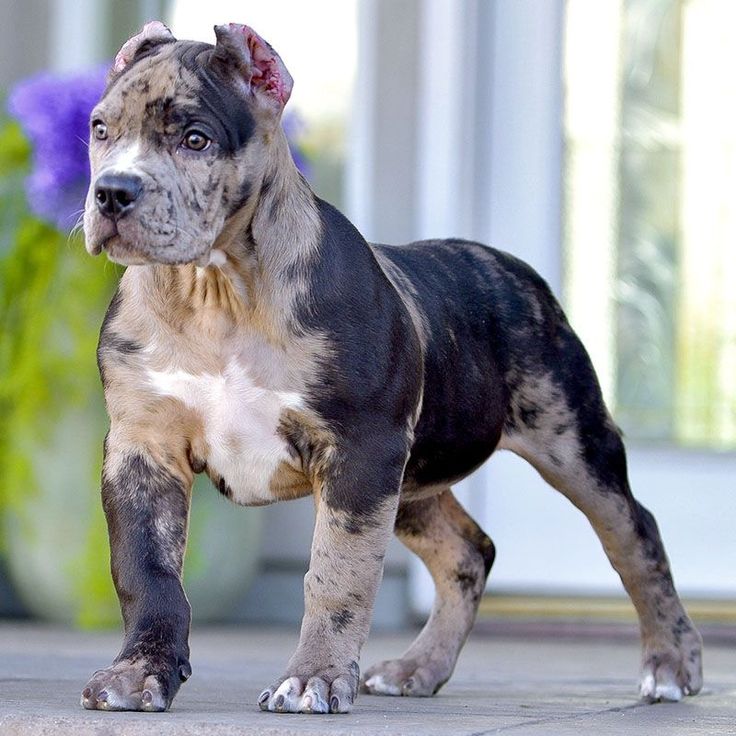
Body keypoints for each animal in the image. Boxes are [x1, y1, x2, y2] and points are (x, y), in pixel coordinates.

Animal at [79, 21, 700, 712]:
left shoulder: (360, 452)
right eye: (100, 130)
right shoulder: (143, 448)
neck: (215, 293)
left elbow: (337, 572)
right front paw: (139, 672)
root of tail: (506, 264)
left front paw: (314, 677)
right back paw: (419, 668)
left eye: (195, 138)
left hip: (570, 444)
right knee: (468, 553)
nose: (113, 192)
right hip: (411, 478)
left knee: (634, 535)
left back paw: (671, 664)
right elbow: (146, 571)